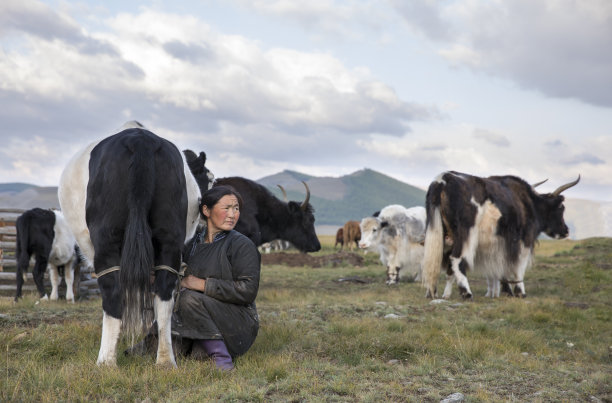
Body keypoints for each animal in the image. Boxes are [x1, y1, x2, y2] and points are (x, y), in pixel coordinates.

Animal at [59, 121, 213, 368]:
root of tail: (140, 140)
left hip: (107, 239)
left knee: (112, 292)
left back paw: (106, 361)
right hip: (169, 238)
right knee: (164, 294)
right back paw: (165, 360)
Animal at [420, 170, 580, 300]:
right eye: (561, 208)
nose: (566, 231)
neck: (530, 204)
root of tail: (443, 180)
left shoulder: (497, 244)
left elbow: (499, 268)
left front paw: (504, 291)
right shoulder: (522, 241)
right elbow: (518, 266)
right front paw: (520, 292)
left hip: (440, 234)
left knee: (436, 261)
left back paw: (434, 293)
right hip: (465, 235)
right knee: (457, 259)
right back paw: (466, 293)